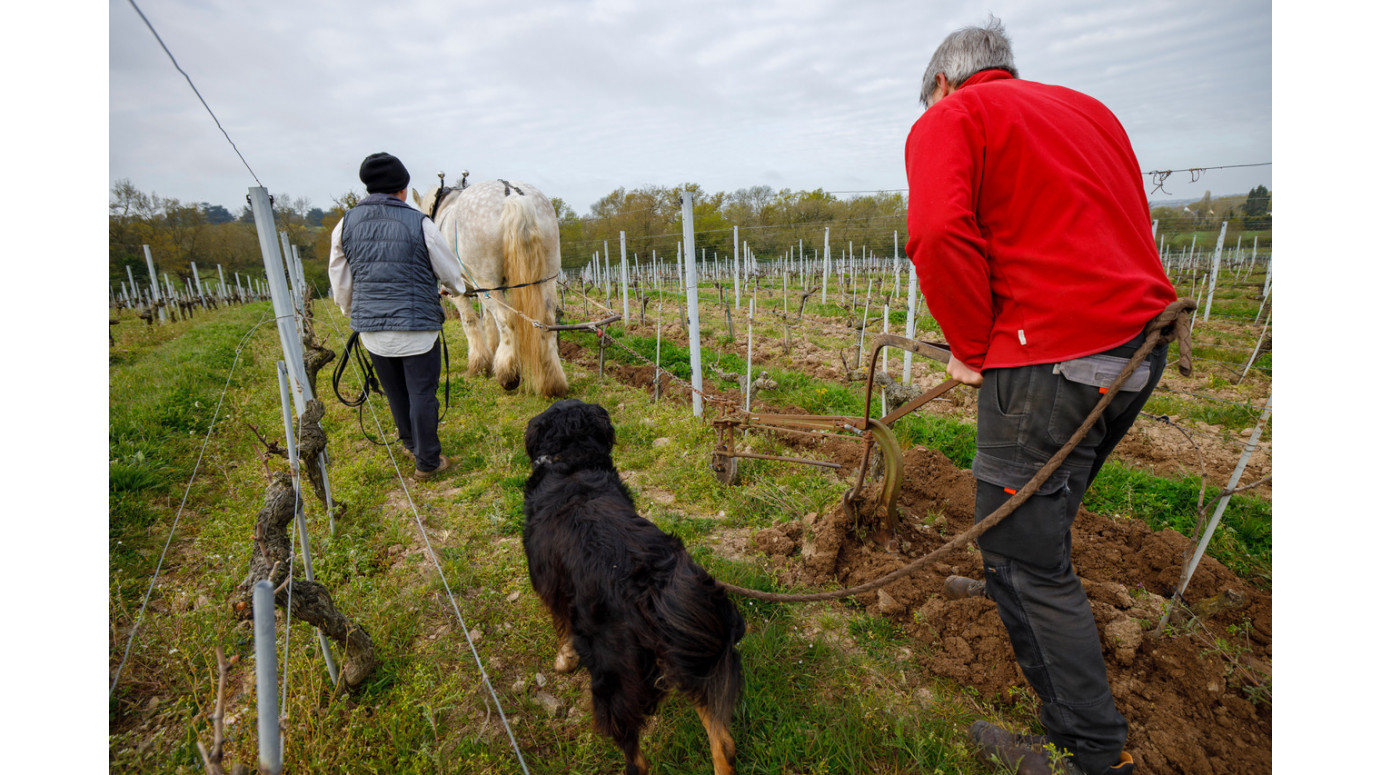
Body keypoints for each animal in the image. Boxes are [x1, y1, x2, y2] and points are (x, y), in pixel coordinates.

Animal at [524, 397, 745, 772]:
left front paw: (564, 661)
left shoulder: (551, 587)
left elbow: (561, 629)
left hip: (614, 678)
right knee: (723, 741)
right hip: (692, 660)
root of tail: (654, 589)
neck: (572, 465)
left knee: (635, 754)